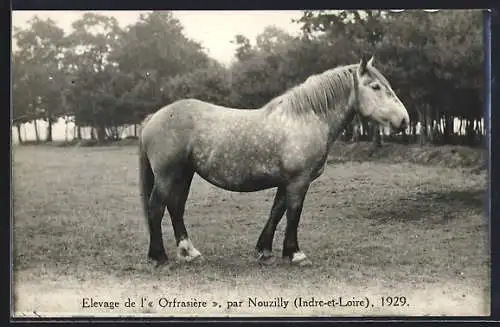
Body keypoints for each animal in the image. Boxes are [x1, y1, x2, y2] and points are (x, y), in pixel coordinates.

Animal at [139, 55, 408, 268]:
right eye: (375, 87)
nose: (404, 120)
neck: (305, 118)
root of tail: (155, 117)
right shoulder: (299, 181)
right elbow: (293, 213)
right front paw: (296, 254)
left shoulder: (286, 181)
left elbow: (277, 211)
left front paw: (265, 250)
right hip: (168, 174)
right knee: (157, 207)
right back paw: (159, 257)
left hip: (184, 174)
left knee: (176, 207)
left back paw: (189, 253)